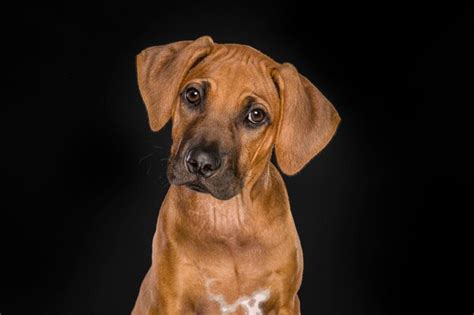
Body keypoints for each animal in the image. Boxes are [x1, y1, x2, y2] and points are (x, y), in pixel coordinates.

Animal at [132, 35, 340, 314]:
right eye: (193, 94)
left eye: (256, 115)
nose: (200, 163)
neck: (227, 218)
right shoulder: (170, 301)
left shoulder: (286, 302)